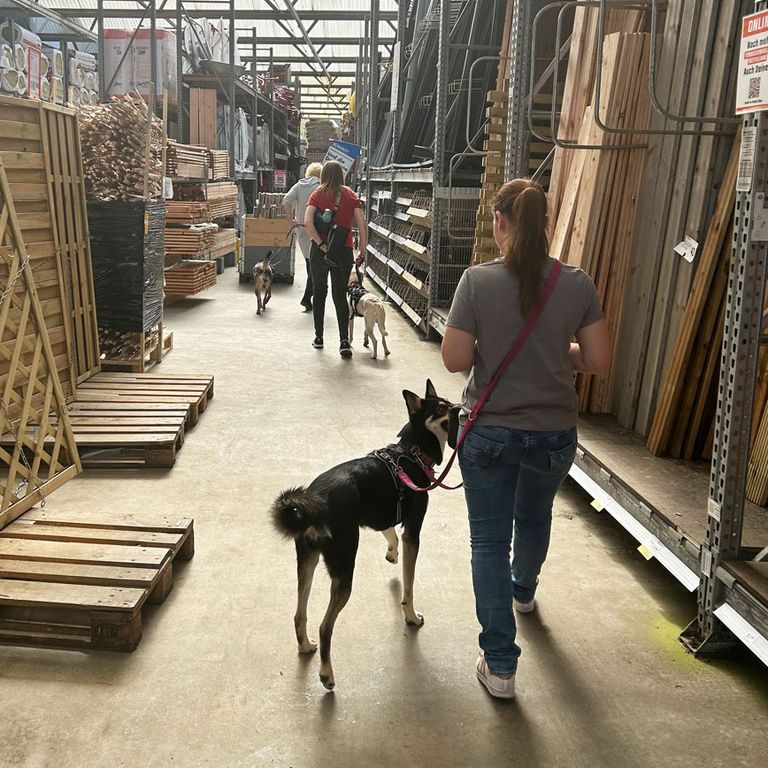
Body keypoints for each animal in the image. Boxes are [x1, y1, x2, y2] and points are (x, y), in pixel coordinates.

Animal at [272, 380, 460, 688]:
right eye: (442, 408)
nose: (461, 407)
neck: (412, 451)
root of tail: (316, 501)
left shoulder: (381, 516)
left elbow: (390, 533)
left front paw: (392, 554)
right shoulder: (413, 531)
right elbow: (409, 585)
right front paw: (410, 615)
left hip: (307, 563)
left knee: (299, 613)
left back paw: (305, 645)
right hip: (344, 567)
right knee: (325, 626)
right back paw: (327, 674)